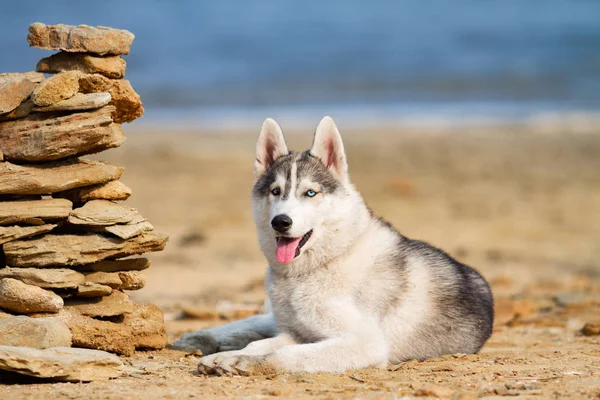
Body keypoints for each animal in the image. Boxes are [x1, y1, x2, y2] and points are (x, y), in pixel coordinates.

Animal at [180, 116, 494, 376]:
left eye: (310, 193)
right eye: (275, 191)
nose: (281, 222)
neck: (316, 267)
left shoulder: (363, 343)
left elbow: (285, 353)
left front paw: (245, 362)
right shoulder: (297, 331)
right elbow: (264, 343)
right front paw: (228, 356)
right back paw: (201, 337)